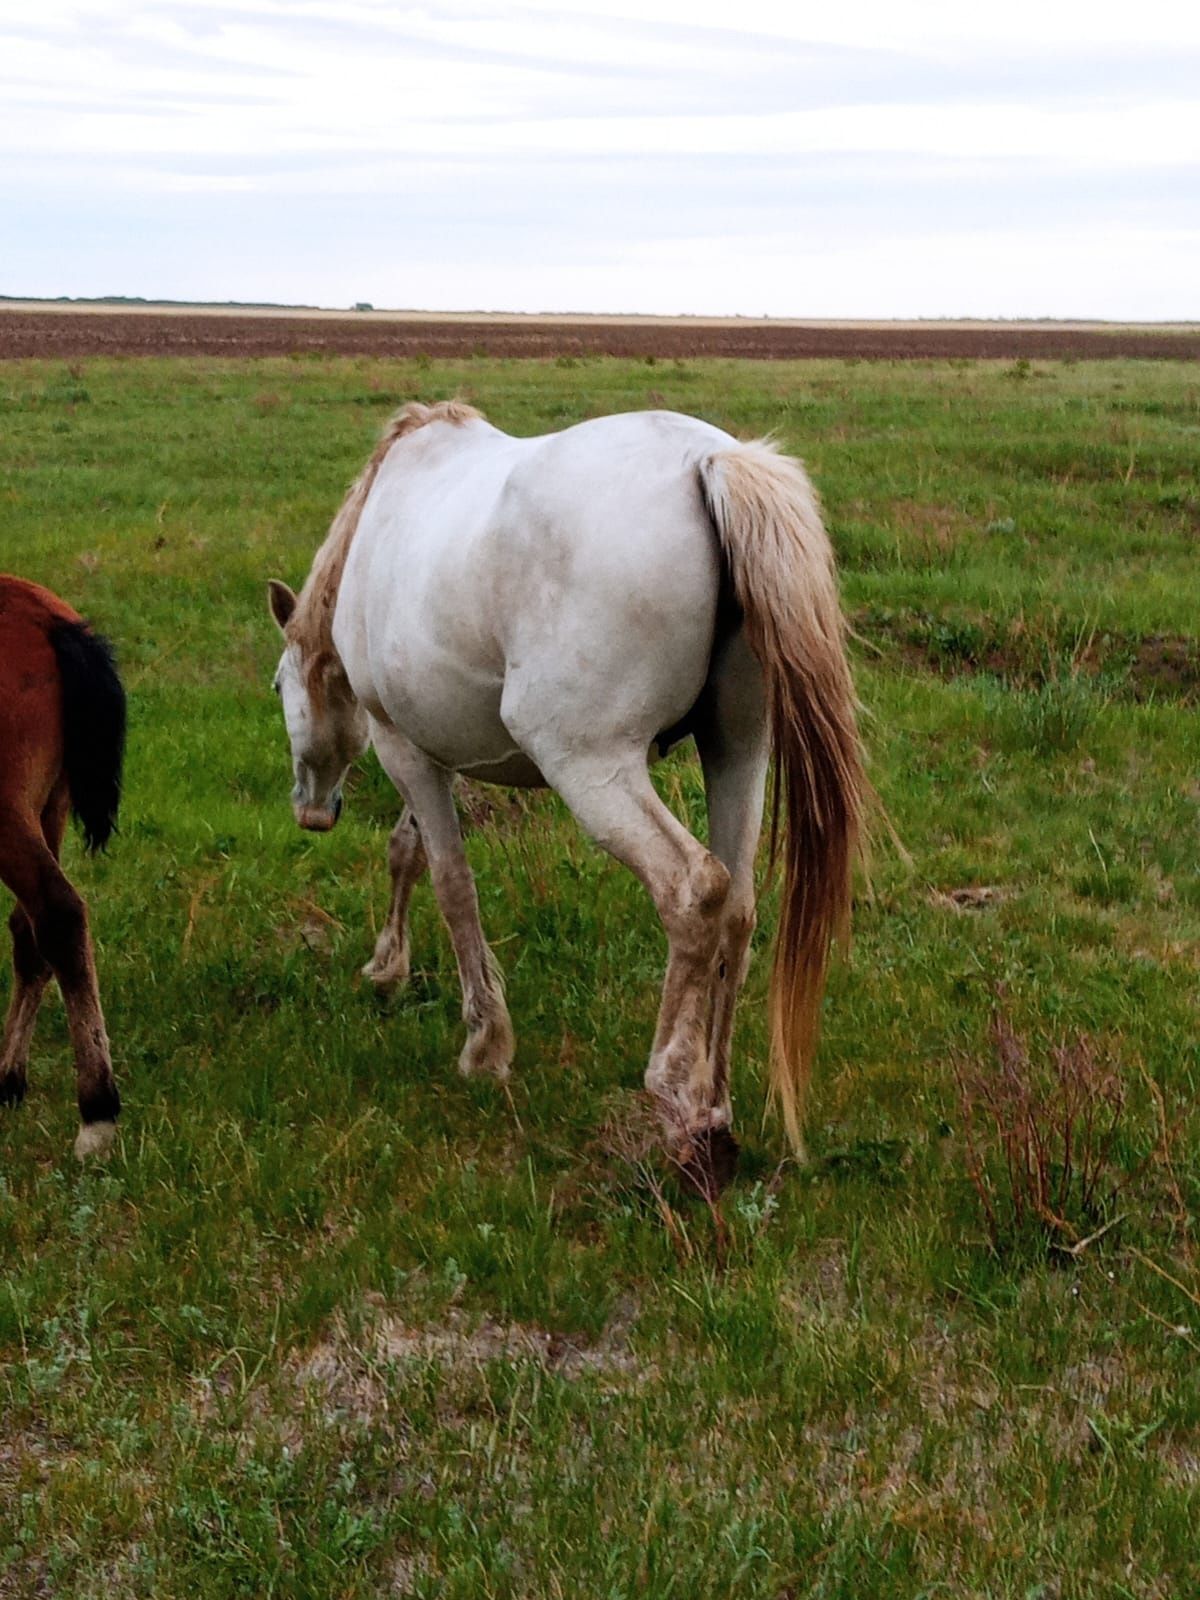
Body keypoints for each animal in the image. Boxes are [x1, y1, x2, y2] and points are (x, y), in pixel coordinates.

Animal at [267, 403, 864, 1177]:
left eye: (279, 685)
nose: (311, 812)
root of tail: (709, 463)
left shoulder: (403, 747)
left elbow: (452, 883)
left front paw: (485, 1045)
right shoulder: (433, 749)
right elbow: (409, 851)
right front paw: (387, 967)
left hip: (592, 767)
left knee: (694, 889)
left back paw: (676, 1098)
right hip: (738, 748)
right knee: (736, 905)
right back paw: (716, 1101)